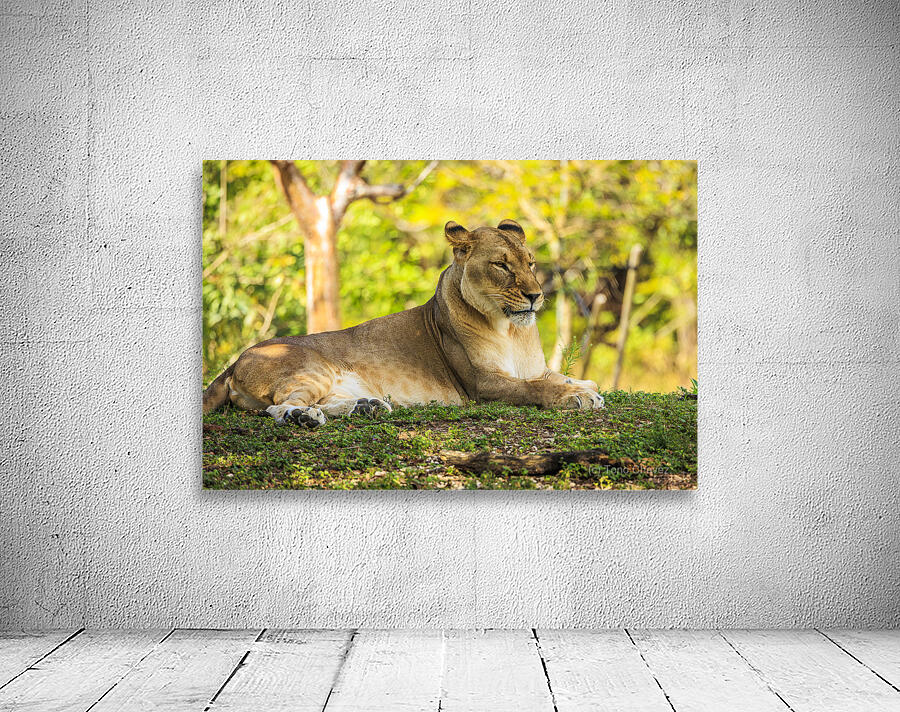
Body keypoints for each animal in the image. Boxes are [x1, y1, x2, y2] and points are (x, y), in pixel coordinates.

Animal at [202, 219, 604, 427]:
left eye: (531, 263)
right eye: (502, 265)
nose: (536, 295)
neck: (511, 330)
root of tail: (234, 362)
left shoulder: (533, 367)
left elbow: (552, 376)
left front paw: (585, 385)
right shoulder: (481, 384)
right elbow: (534, 388)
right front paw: (577, 397)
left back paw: (367, 407)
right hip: (311, 367)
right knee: (279, 407)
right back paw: (304, 417)